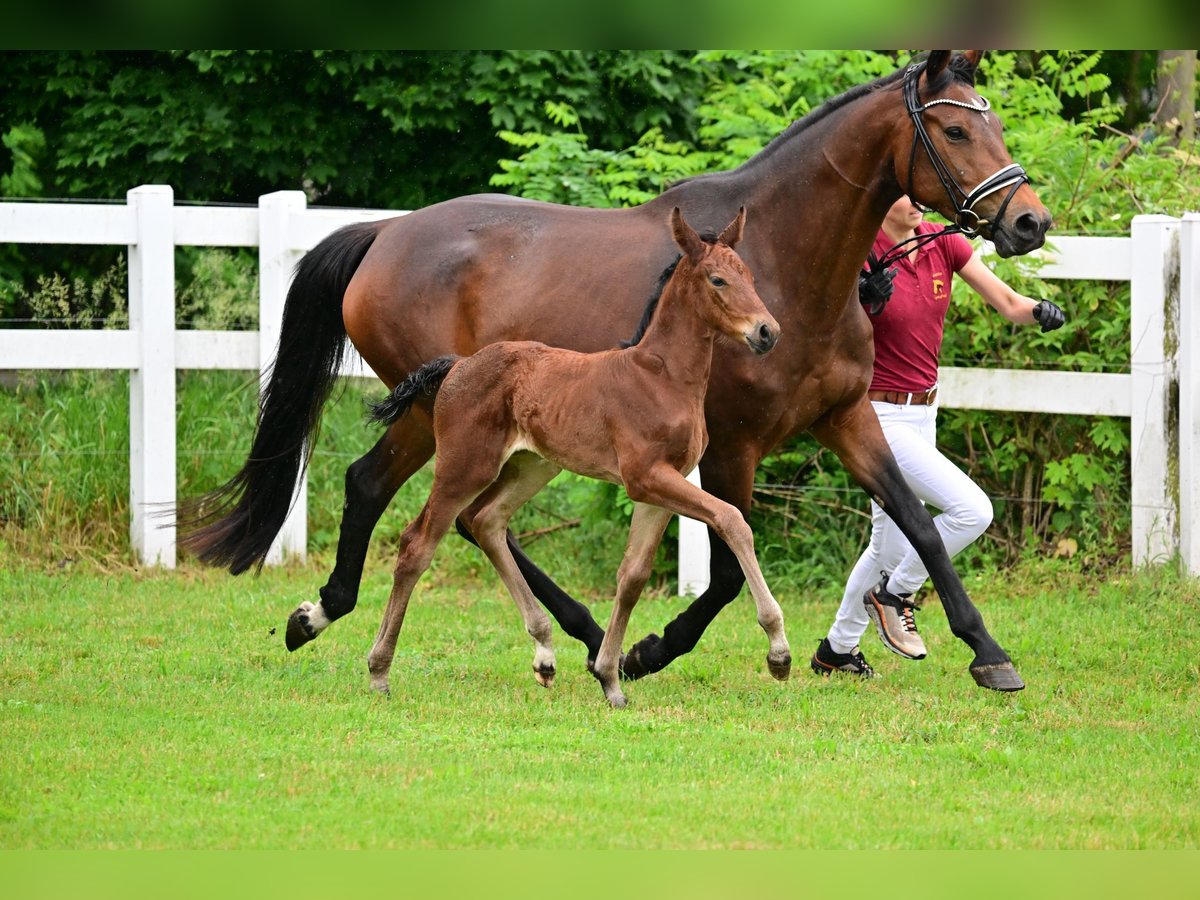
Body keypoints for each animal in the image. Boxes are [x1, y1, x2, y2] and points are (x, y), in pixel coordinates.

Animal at [369, 207, 792, 710]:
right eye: (718, 280)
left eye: (749, 276)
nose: (768, 332)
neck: (662, 378)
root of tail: (458, 364)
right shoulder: (646, 477)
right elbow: (732, 520)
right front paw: (778, 652)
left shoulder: (658, 487)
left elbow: (632, 576)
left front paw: (611, 679)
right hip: (465, 465)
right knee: (418, 545)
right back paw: (379, 672)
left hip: (532, 466)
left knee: (487, 521)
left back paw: (544, 654)